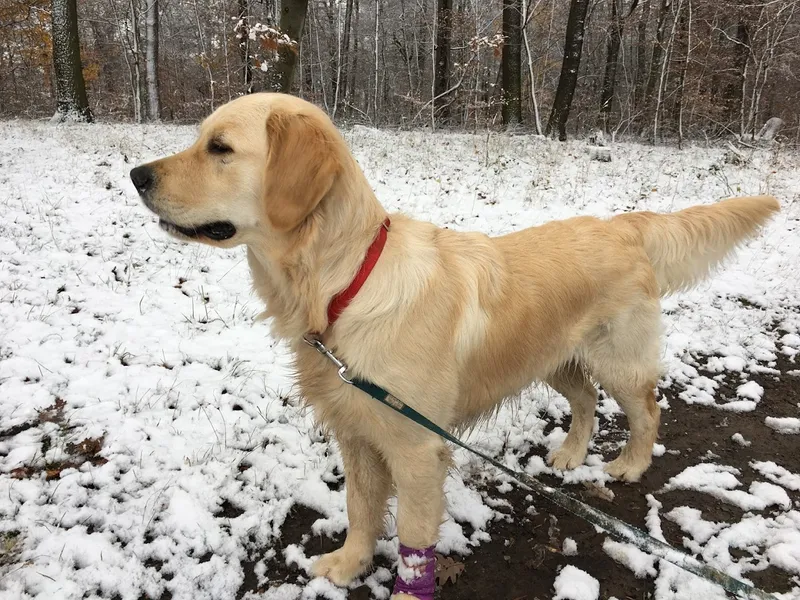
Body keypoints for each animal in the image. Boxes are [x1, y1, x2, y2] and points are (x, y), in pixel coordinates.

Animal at [131, 91, 780, 596]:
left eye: (220, 148)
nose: (137, 175)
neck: (344, 282)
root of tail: (622, 223)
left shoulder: (417, 449)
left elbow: (414, 539)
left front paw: (403, 591)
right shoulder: (357, 432)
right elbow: (361, 511)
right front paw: (348, 564)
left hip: (616, 357)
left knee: (646, 408)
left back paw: (630, 463)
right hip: (551, 359)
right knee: (586, 400)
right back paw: (571, 455)